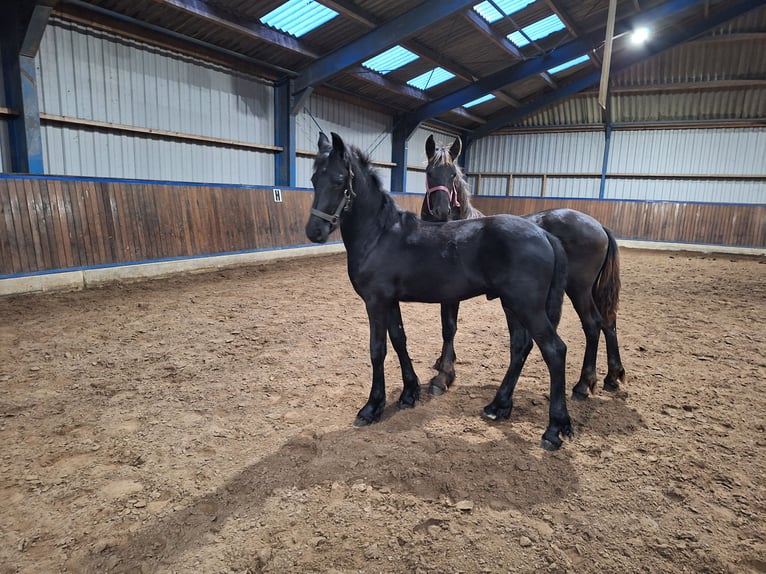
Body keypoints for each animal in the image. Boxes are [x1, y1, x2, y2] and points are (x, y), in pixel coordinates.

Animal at [308, 133, 576, 452]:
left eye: (339, 180)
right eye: (314, 179)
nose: (314, 231)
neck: (379, 235)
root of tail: (545, 234)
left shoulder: (376, 302)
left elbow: (378, 349)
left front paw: (372, 407)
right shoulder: (390, 301)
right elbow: (399, 340)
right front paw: (409, 393)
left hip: (527, 307)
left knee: (554, 350)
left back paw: (553, 429)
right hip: (513, 306)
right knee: (520, 347)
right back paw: (498, 406)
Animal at [424, 136, 628, 402]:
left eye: (452, 176)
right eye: (429, 173)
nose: (441, 211)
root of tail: (599, 226)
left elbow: (449, 328)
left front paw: (444, 376)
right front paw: (443, 363)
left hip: (579, 289)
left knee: (592, 324)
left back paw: (584, 384)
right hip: (592, 289)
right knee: (608, 321)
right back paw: (612, 376)